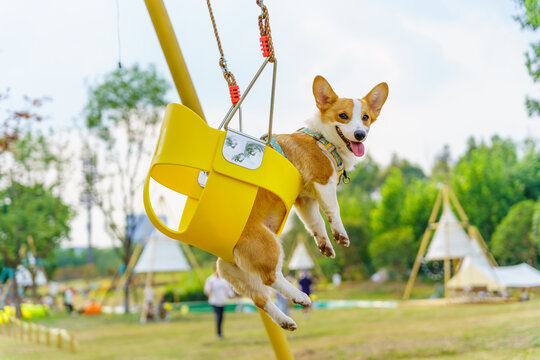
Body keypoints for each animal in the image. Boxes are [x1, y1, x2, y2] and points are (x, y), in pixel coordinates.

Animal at [216, 76, 388, 330]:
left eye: (365, 117)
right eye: (343, 115)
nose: (360, 135)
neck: (323, 139)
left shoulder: (304, 199)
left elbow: (315, 222)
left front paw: (325, 244)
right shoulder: (323, 181)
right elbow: (333, 210)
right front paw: (341, 235)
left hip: (240, 275)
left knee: (261, 299)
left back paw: (286, 320)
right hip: (271, 246)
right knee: (272, 277)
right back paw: (300, 296)